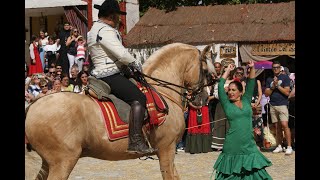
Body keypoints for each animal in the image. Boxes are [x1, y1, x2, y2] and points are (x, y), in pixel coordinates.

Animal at [24, 43, 215, 179]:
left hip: (49, 163)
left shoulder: (167, 150)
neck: (163, 91)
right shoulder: (166, 149)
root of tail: (33, 106)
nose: (203, 99)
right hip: (63, 162)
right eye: (206, 71)